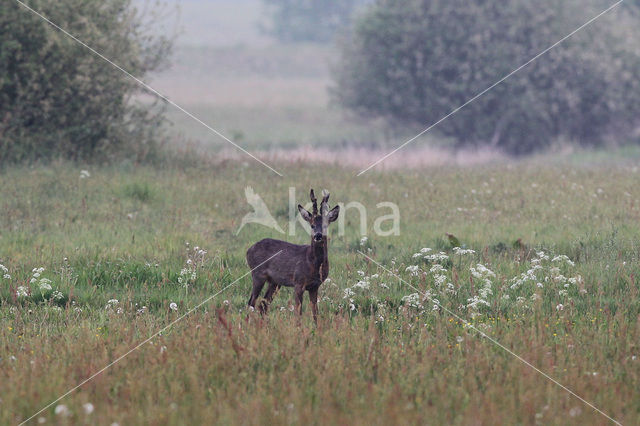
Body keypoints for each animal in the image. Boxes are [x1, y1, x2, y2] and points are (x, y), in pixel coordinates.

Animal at [246, 189, 340, 322]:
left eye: (325, 225)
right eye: (312, 225)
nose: (318, 235)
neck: (312, 262)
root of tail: (248, 250)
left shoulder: (314, 286)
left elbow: (315, 314)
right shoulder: (298, 283)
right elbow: (298, 313)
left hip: (274, 282)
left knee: (262, 305)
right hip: (257, 274)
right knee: (251, 303)